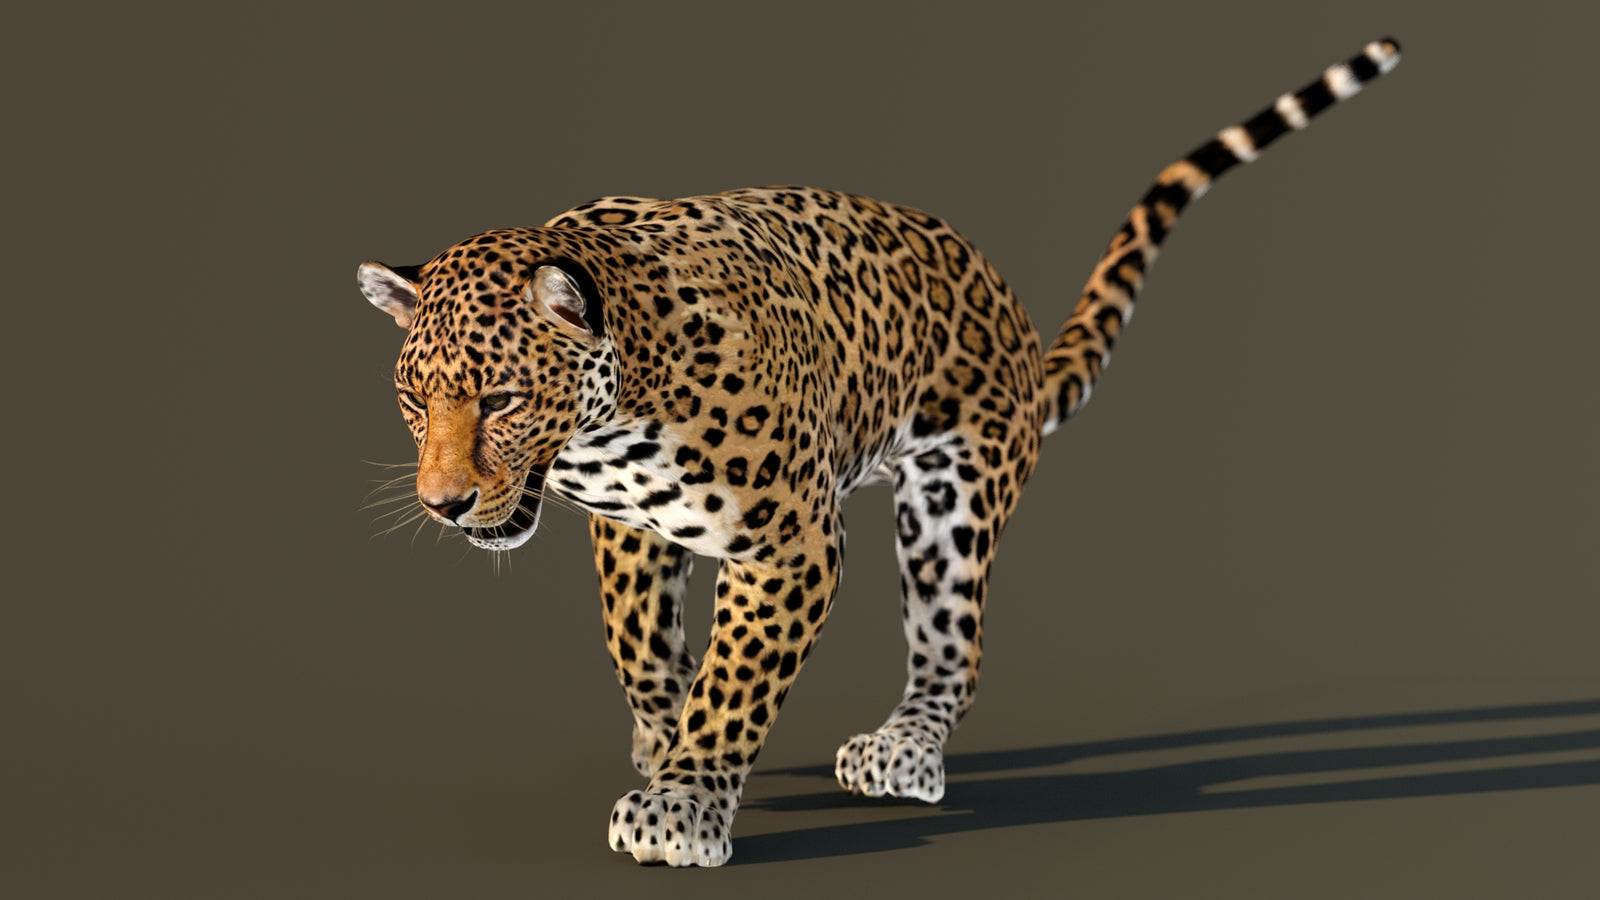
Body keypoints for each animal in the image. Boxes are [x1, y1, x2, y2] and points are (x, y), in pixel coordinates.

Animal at [357, 39, 1401, 867]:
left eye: (501, 399)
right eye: (414, 401)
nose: (445, 504)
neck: (613, 413)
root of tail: (1012, 319)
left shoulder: (793, 543)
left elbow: (735, 679)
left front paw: (683, 804)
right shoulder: (630, 529)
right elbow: (640, 644)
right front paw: (663, 740)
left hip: (952, 500)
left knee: (953, 652)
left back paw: (904, 749)